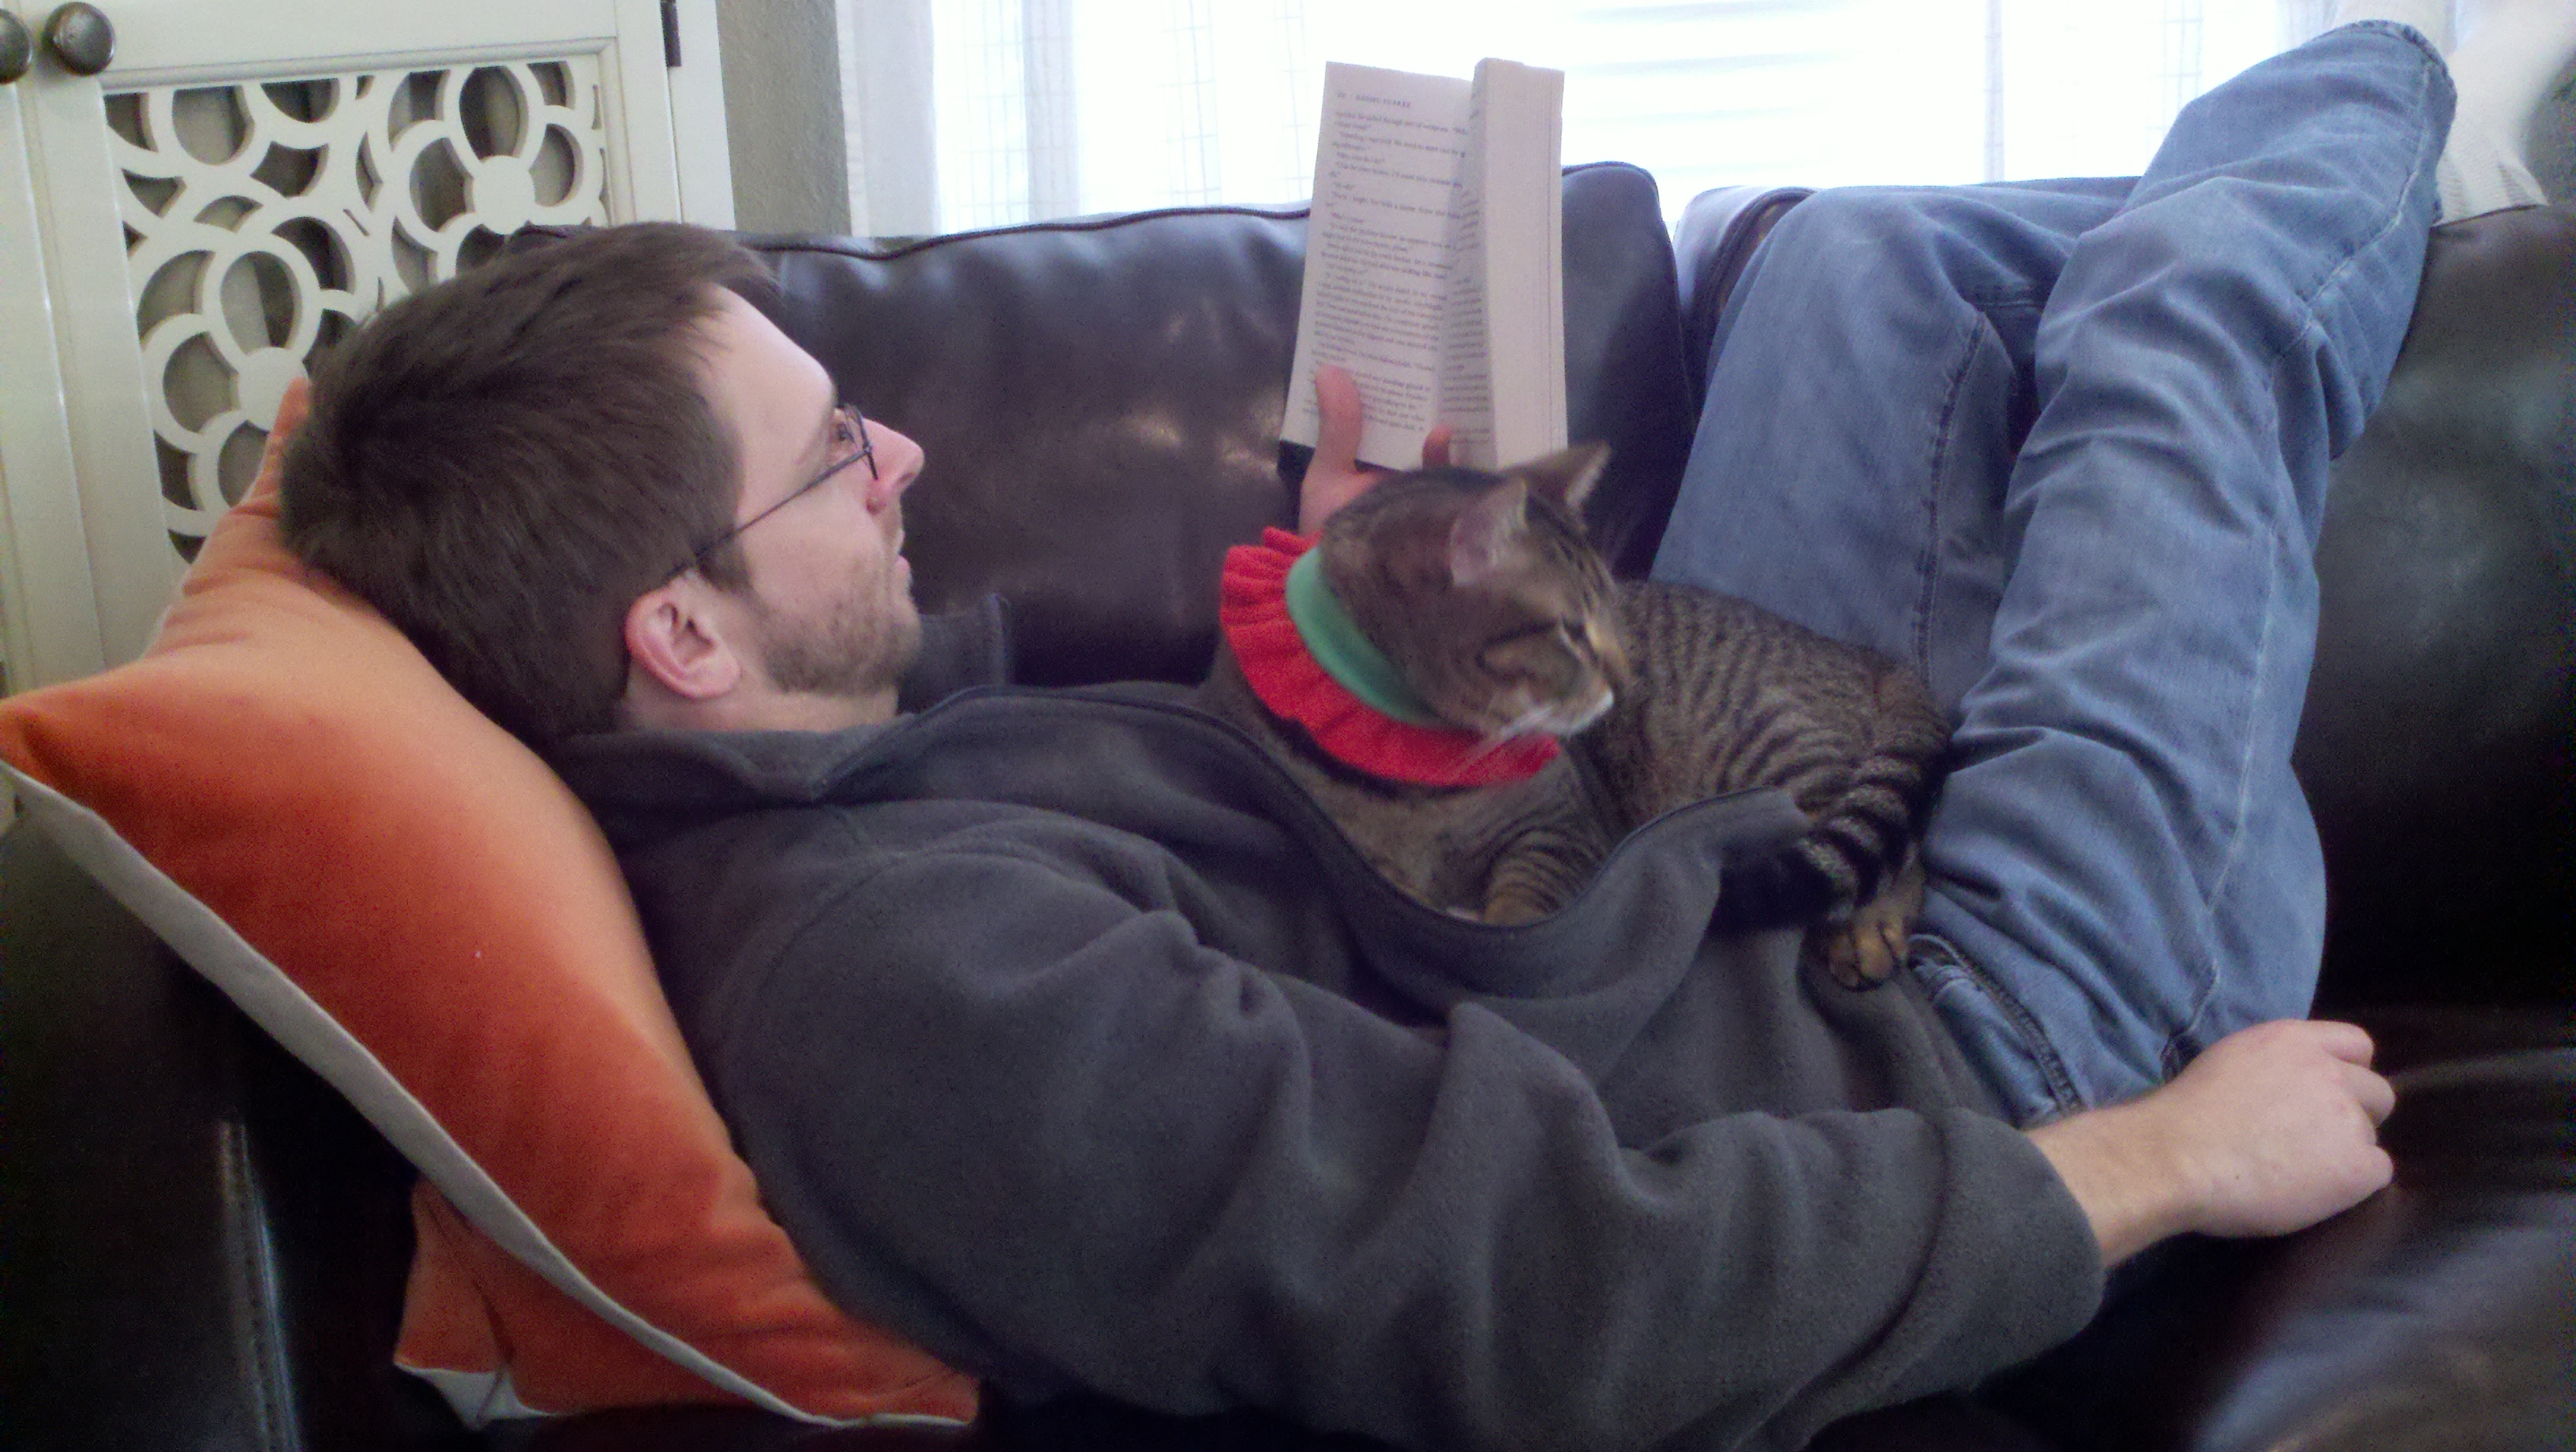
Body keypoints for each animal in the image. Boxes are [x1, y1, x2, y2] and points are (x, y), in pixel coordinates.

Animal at [1197, 443, 1951, 986]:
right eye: (1570, 631)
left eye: (1611, 615)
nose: (1626, 678)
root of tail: (1868, 655)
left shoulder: (1562, 827)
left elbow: (1517, 919)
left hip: (1770, 756)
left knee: (1897, 852)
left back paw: (1867, 927)